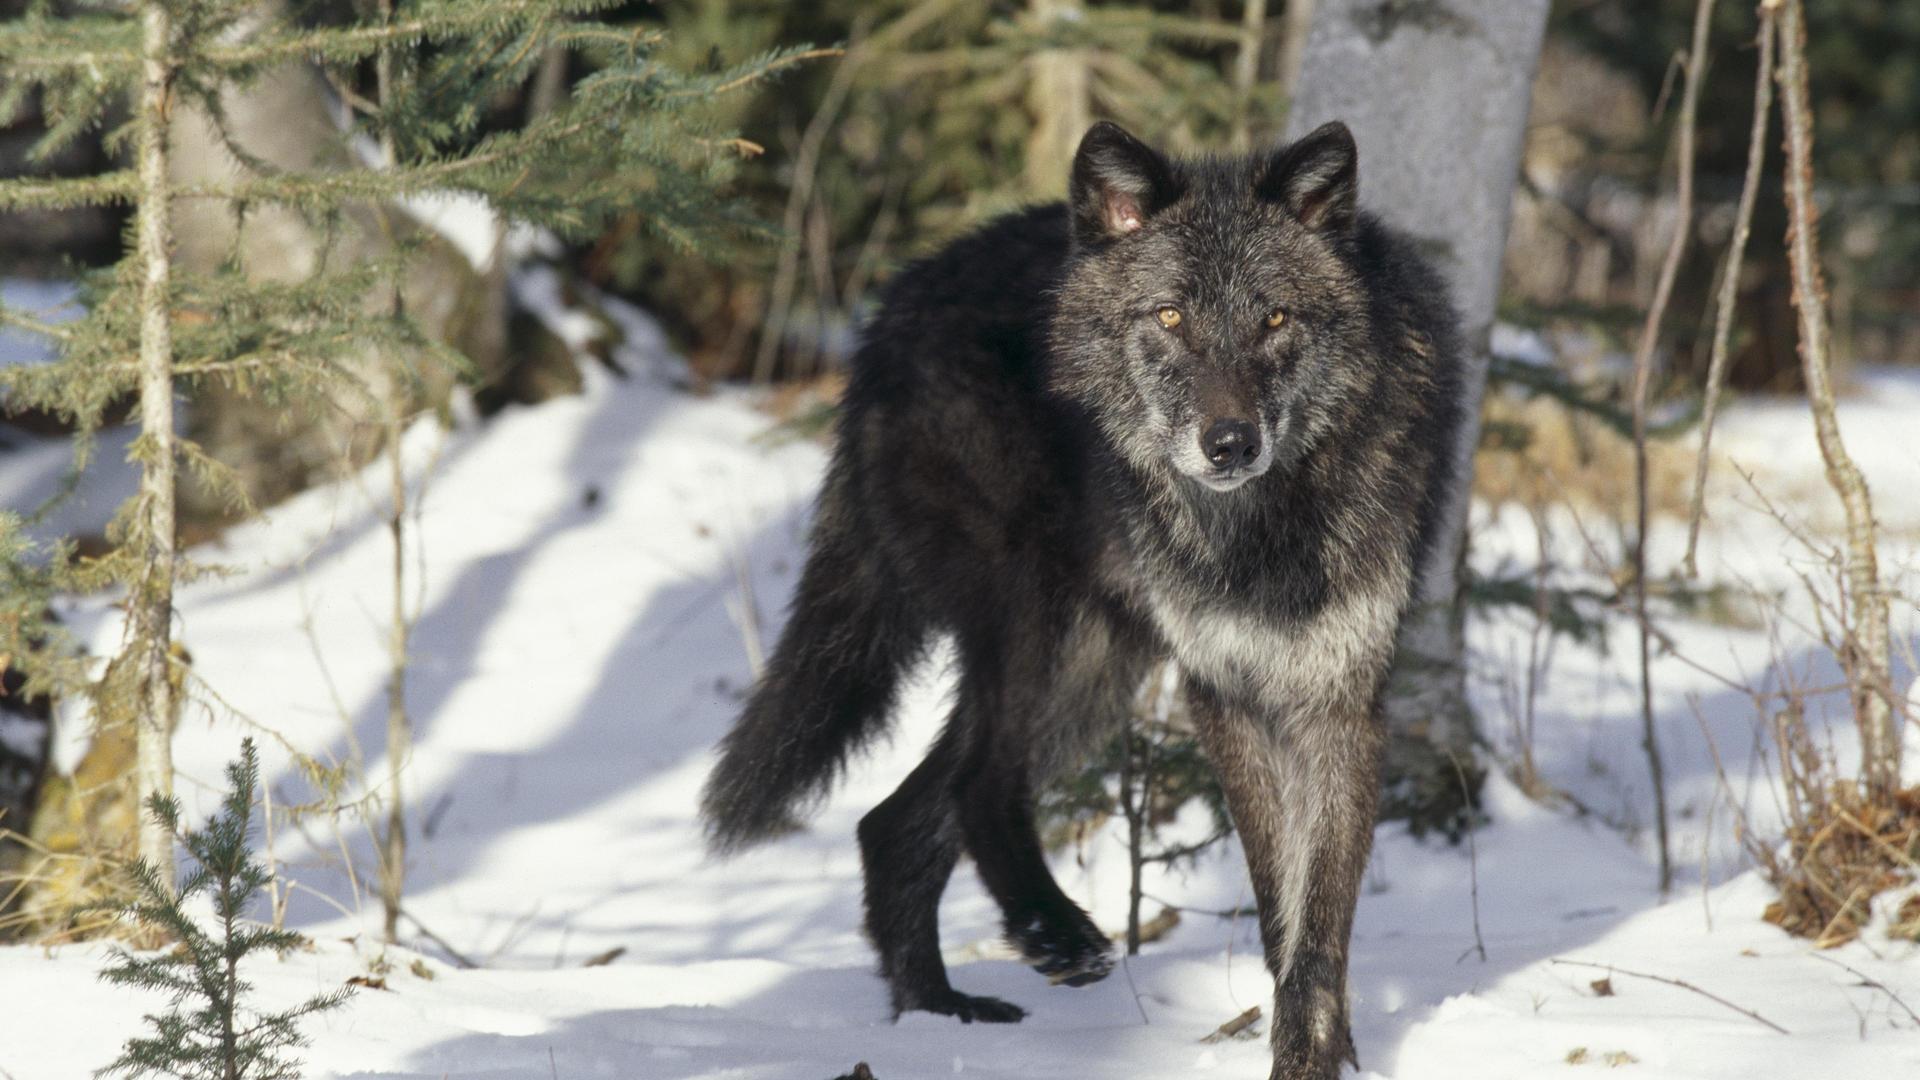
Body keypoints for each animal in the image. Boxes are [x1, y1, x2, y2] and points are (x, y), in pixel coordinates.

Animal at [698, 119, 1459, 1076]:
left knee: (894, 821)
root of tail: (892, 310)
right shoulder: (1223, 696)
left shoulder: (1341, 700)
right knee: (979, 783)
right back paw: (1052, 935)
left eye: (1275, 318)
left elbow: (1316, 928)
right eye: (1169, 317)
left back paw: (936, 1016)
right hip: (1039, 629)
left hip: (1093, 676)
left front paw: (1321, 1052)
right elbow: (1279, 906)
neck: (1258, 531)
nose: (1230, 443)